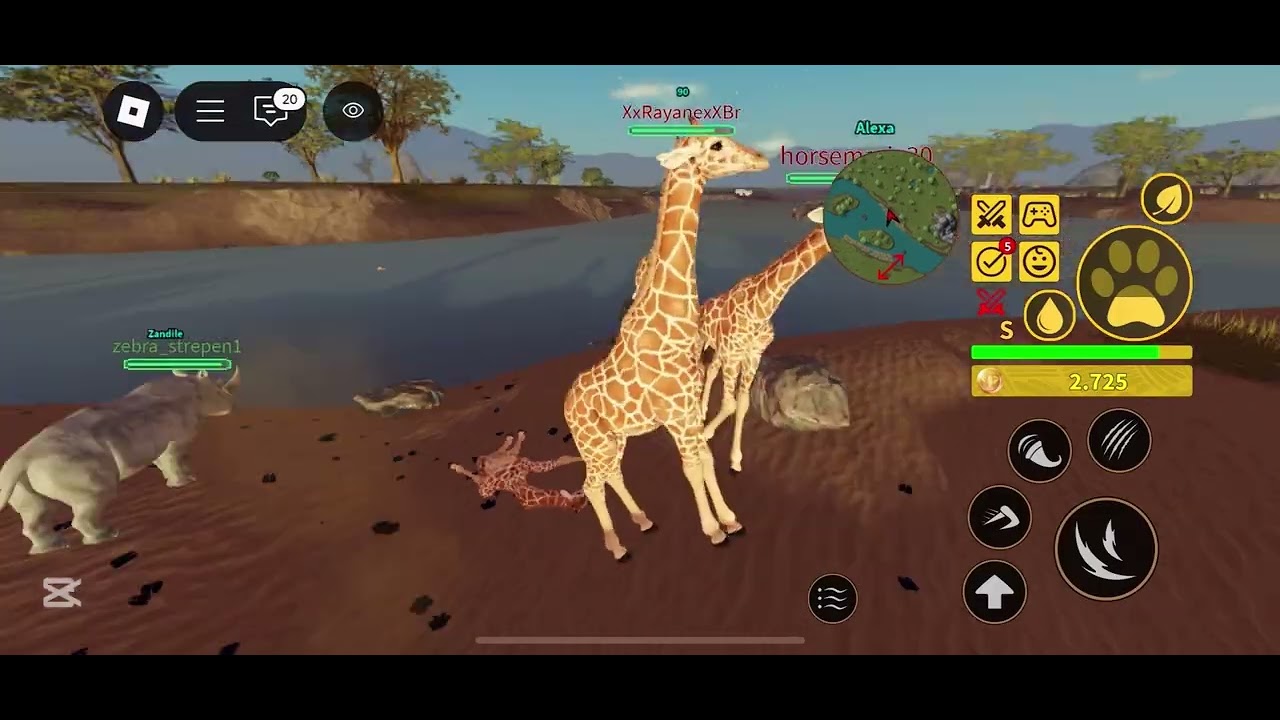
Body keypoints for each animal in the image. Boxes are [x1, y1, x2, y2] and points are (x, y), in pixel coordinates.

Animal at [563, 124, 769, 561]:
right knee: (591, 484)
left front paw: (730, 518)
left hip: (614, 440)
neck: (672, 321)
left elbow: (704, 456)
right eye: (716, 145)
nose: (762, 158)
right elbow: (691, 465)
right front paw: (713, 530)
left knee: (611, 474)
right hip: (593, 443)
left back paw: (643, 520)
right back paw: (617, 545)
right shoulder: (675, 415)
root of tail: (567, 406)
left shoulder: (690, 409)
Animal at [699, 206, 828, 473]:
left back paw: (703, 409)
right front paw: (705, 434)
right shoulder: (734, 354)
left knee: (711, 369)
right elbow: (730, 403)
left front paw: (736, 459)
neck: (761, 307)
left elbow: (742, 404)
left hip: (721, 351)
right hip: (706, 343)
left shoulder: (751, 356)